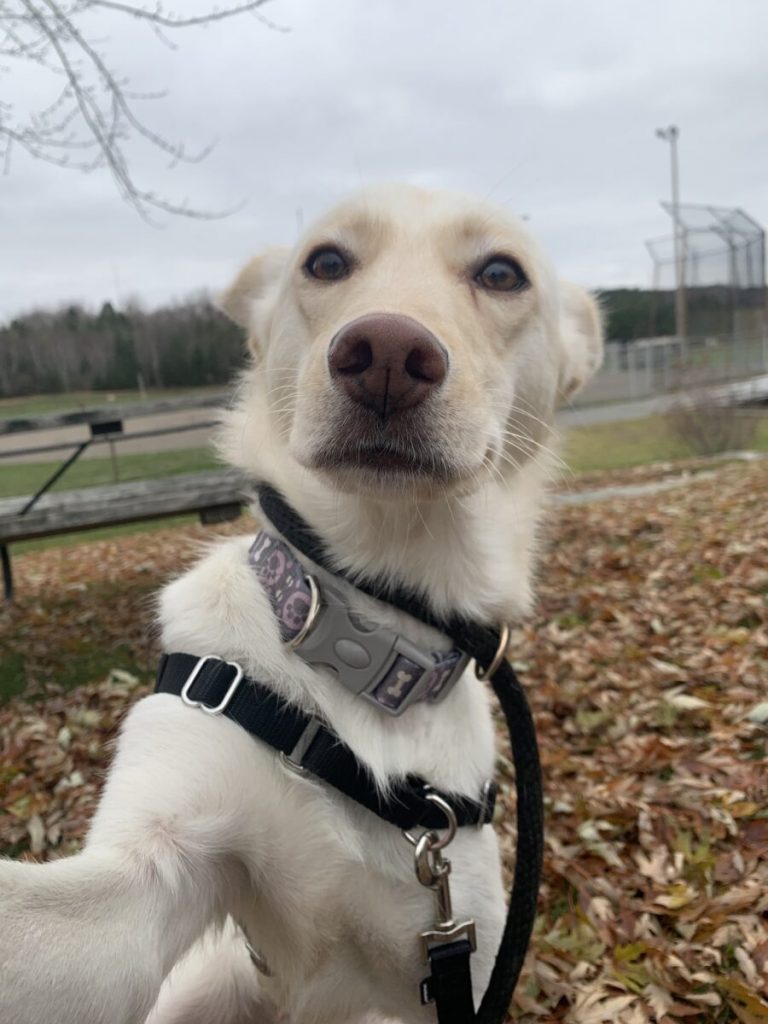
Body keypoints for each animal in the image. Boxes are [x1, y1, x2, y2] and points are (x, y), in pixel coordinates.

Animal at [0, 186, 602, 1024]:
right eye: (326, 261)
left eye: (501, 273)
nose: (387, 352)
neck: (367, 642)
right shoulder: (151, 871)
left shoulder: (461, 956)